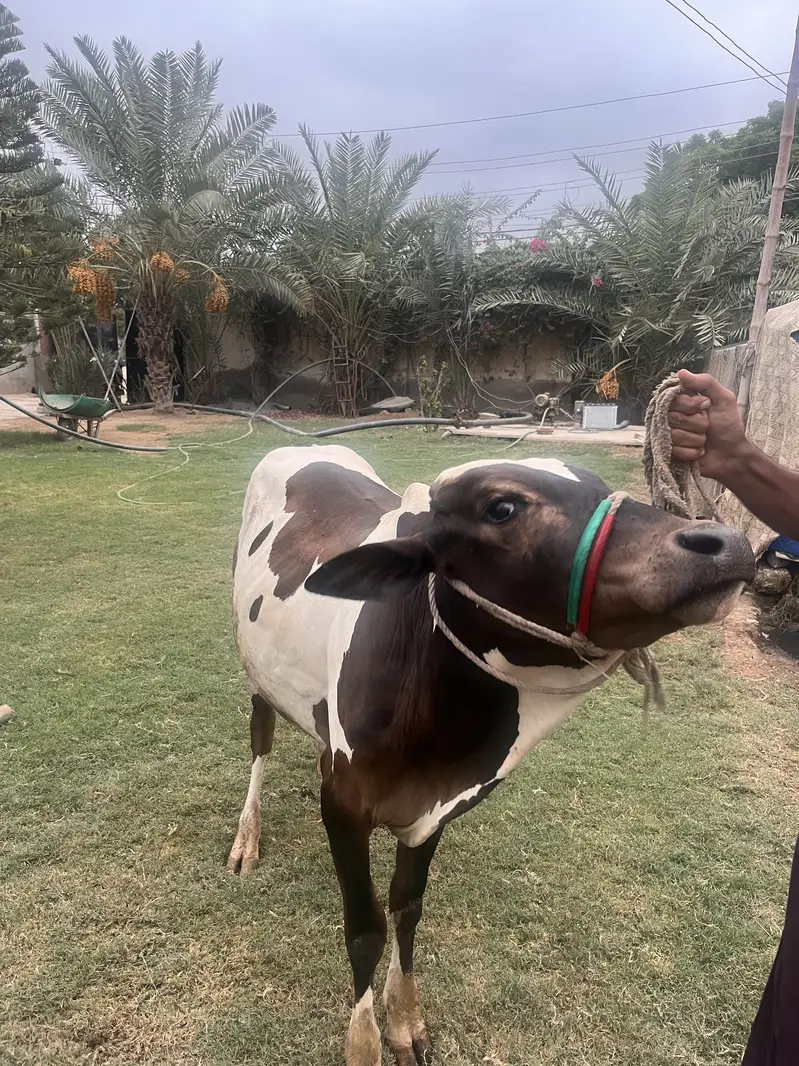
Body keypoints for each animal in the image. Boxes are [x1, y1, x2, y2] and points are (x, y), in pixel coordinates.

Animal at [229, 444, 754, 1066]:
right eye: (502, 507)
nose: (726, 542)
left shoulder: (433, 808)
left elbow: (407, 907)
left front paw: (404, 1019)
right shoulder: (342, 802)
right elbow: (365, 930)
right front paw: (365, 1043)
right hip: (254, 672)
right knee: (260, 738)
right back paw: (246, 837)